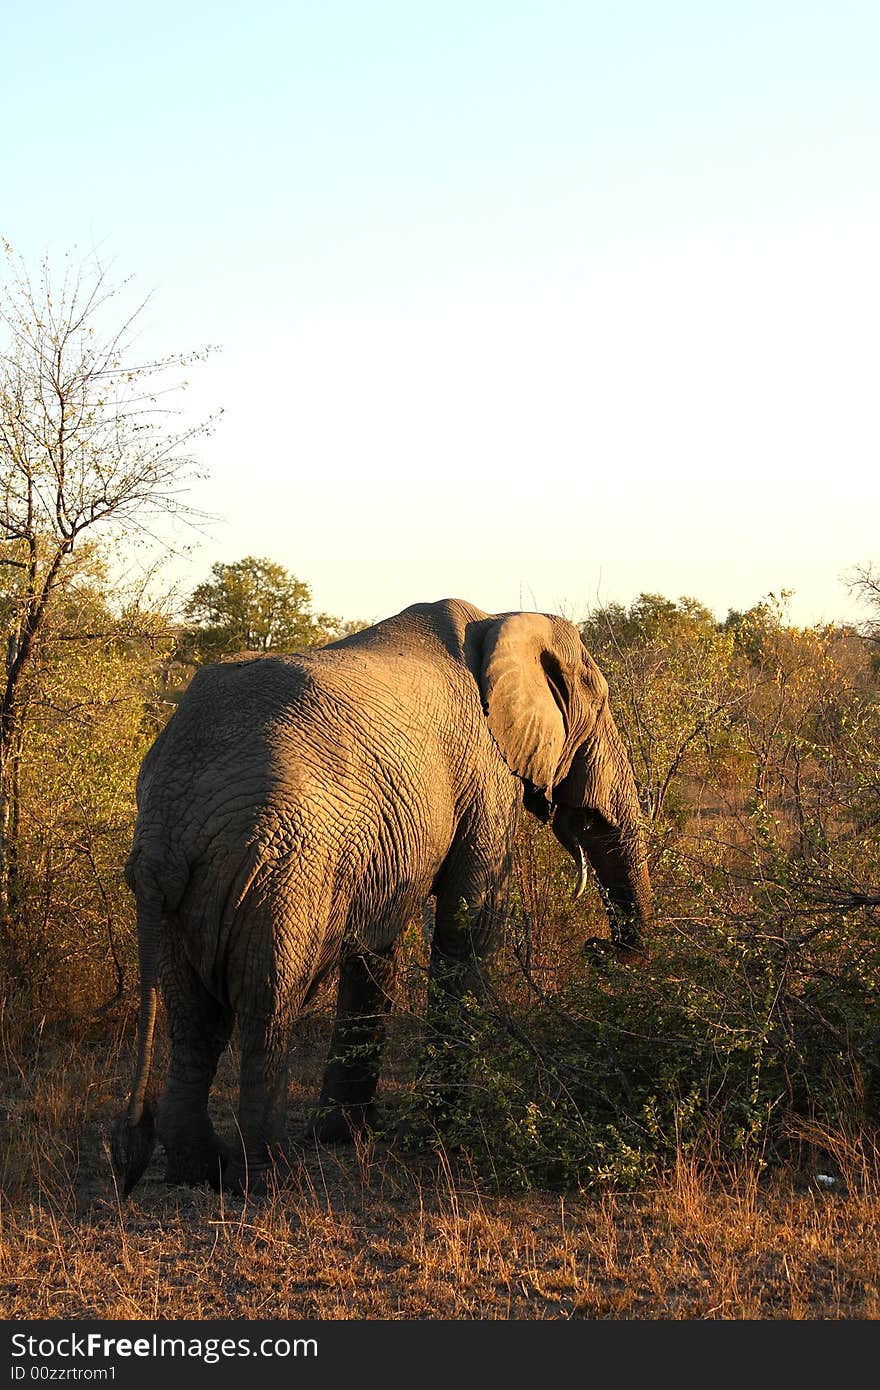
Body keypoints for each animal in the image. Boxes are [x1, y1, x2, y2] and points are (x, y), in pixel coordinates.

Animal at [111, 597, 653, 1195]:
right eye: (600, 706)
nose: (598, 949)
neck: (500, 623)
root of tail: (162, 834)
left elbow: (375, 947)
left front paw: (347, 1137)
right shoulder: (486, 772)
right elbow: (469, 923)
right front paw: (444, 1134)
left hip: (187, 895)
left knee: (195, 1021)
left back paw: (202, 1170)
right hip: (280, 868)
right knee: (265, 1010)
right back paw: (273, 1176)